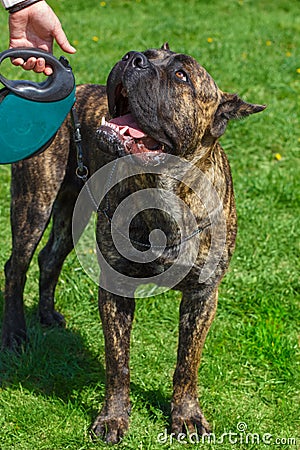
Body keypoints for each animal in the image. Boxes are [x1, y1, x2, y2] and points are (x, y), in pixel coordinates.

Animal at [0, 44, 264, 444]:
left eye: (182, 75)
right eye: (149, 54)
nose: (133, 57)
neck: (162, 187)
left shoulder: (203, 295)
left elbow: (187, 363)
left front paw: (186, 415)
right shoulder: (116, 289)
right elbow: (118, 361)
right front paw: (113, 418)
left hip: (71, 209)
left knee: (50, 257)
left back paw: (47, 314)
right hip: (35, 201)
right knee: (17, 266)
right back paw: (15, 334)